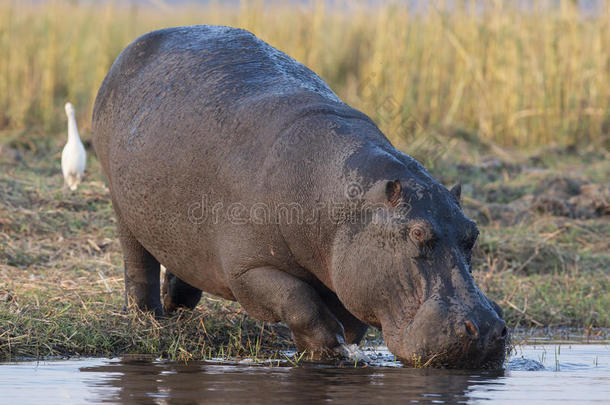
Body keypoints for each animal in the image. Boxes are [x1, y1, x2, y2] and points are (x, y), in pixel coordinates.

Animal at [92, 24, 506, 366]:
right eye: (418, 233)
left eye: (473, 233)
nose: (487, 330)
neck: (345, 203)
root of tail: (138, 44)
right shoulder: (249, 269)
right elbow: (298, 301)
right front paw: (329, 348)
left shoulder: (349, 270)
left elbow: (349, 319)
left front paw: (329, 351)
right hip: (122, 206)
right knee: (138, 262)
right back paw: (148, 316)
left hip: (181, 228)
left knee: (183, 262)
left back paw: (176, 303)